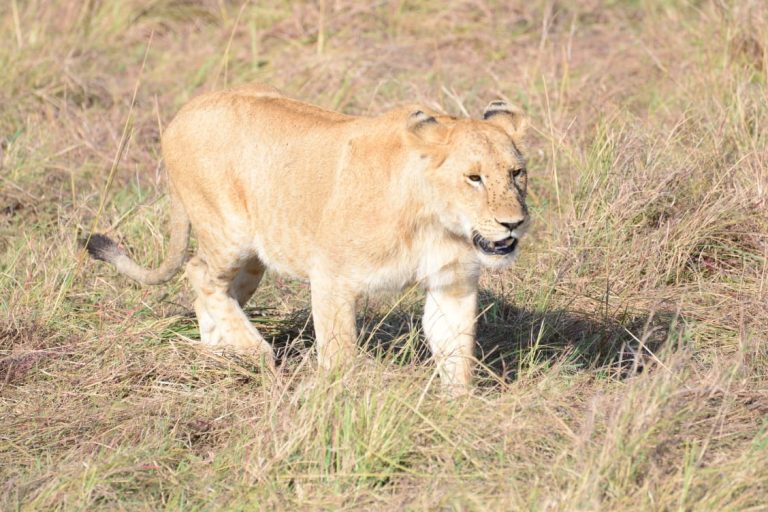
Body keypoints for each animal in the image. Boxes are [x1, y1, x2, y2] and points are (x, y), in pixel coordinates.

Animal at [85, 83, 530, 394]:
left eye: (516, 173)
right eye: (473, 177)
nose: (513, 223)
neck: (436, 222)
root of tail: (183, 112)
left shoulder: (451, 283)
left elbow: (457, 352)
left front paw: (458, 410)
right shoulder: (332, 276)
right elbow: (340, 354)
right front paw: (340, 403)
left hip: (253, 258)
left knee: (215, 290)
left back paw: (218, 353)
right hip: (229, 232)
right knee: (198, 273)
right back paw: (254, 351)